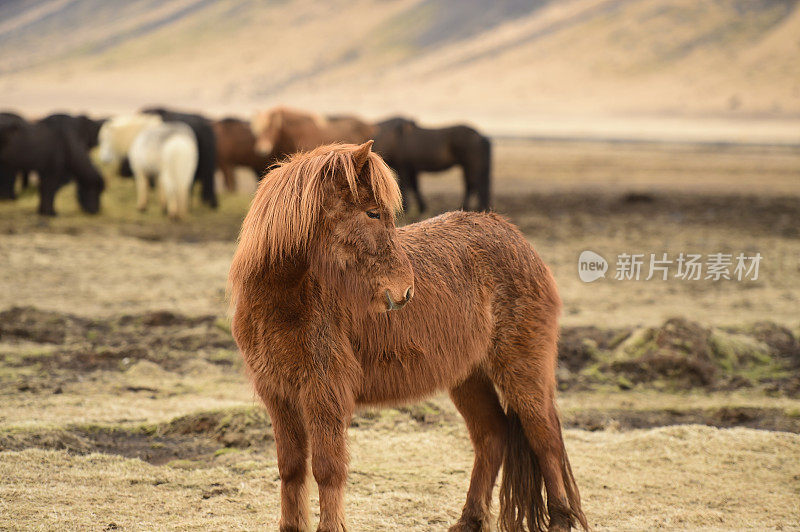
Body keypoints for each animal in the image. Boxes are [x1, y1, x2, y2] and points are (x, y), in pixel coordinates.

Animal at [228, 142, 584, 532]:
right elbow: (291, 469)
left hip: (522, 370)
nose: (404, 292)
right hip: (468, 377)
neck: (286, 301)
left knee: (545, 438)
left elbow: (327, 468)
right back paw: (469, 520)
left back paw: (559, 519)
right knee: (492, 436)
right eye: (372, 213)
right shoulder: (279, 396)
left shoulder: (324, 393)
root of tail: (516, 238)